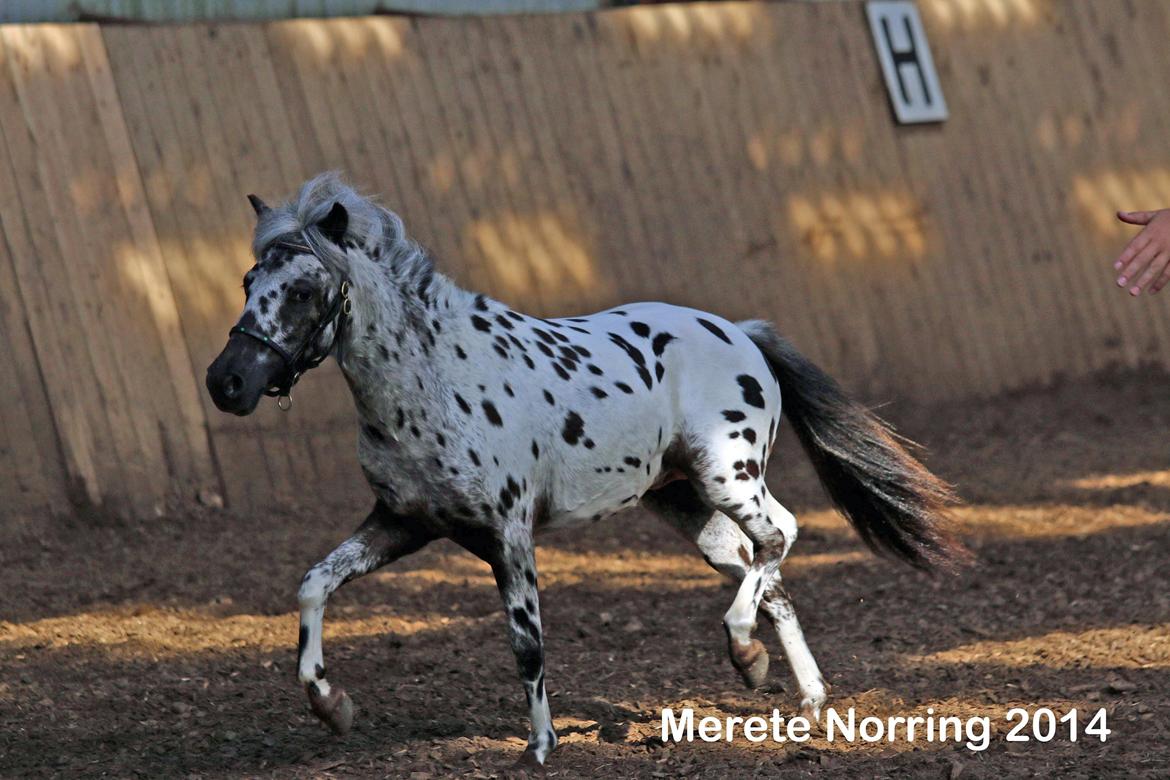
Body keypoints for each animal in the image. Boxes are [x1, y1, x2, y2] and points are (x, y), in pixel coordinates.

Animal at [205, 174, 964, 771]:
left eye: (304, 293)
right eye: (247, 282)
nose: (227, 383)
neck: (430, 382)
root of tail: (740, 332)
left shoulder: (508, 537)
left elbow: (527, 644)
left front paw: (539, 747)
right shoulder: (402, 524)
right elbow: (314, 584)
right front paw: (331, 705)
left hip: (729, 476)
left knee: (780, 536)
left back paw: (746, 653)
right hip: (685, 503)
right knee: (760, 565)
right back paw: (798, 694)